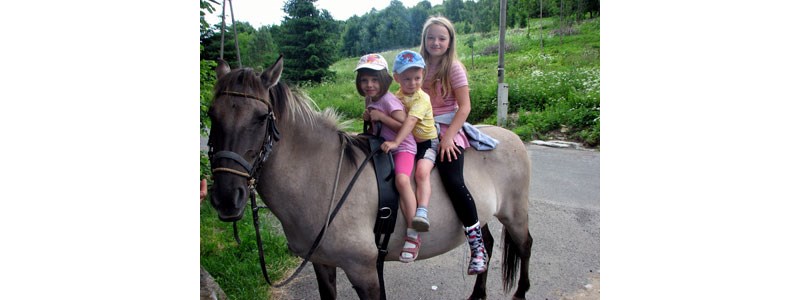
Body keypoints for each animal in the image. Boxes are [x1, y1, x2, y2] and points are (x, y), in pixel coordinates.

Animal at [205, 57, 532, 298]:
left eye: (261, 118)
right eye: (211, 114)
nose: (226, 197)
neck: (325, 179)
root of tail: (510, 135)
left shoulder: (364, 271)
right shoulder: (322, 263)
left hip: (514, 214)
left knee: (524, 245)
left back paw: (520, 292)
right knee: (486, 242)